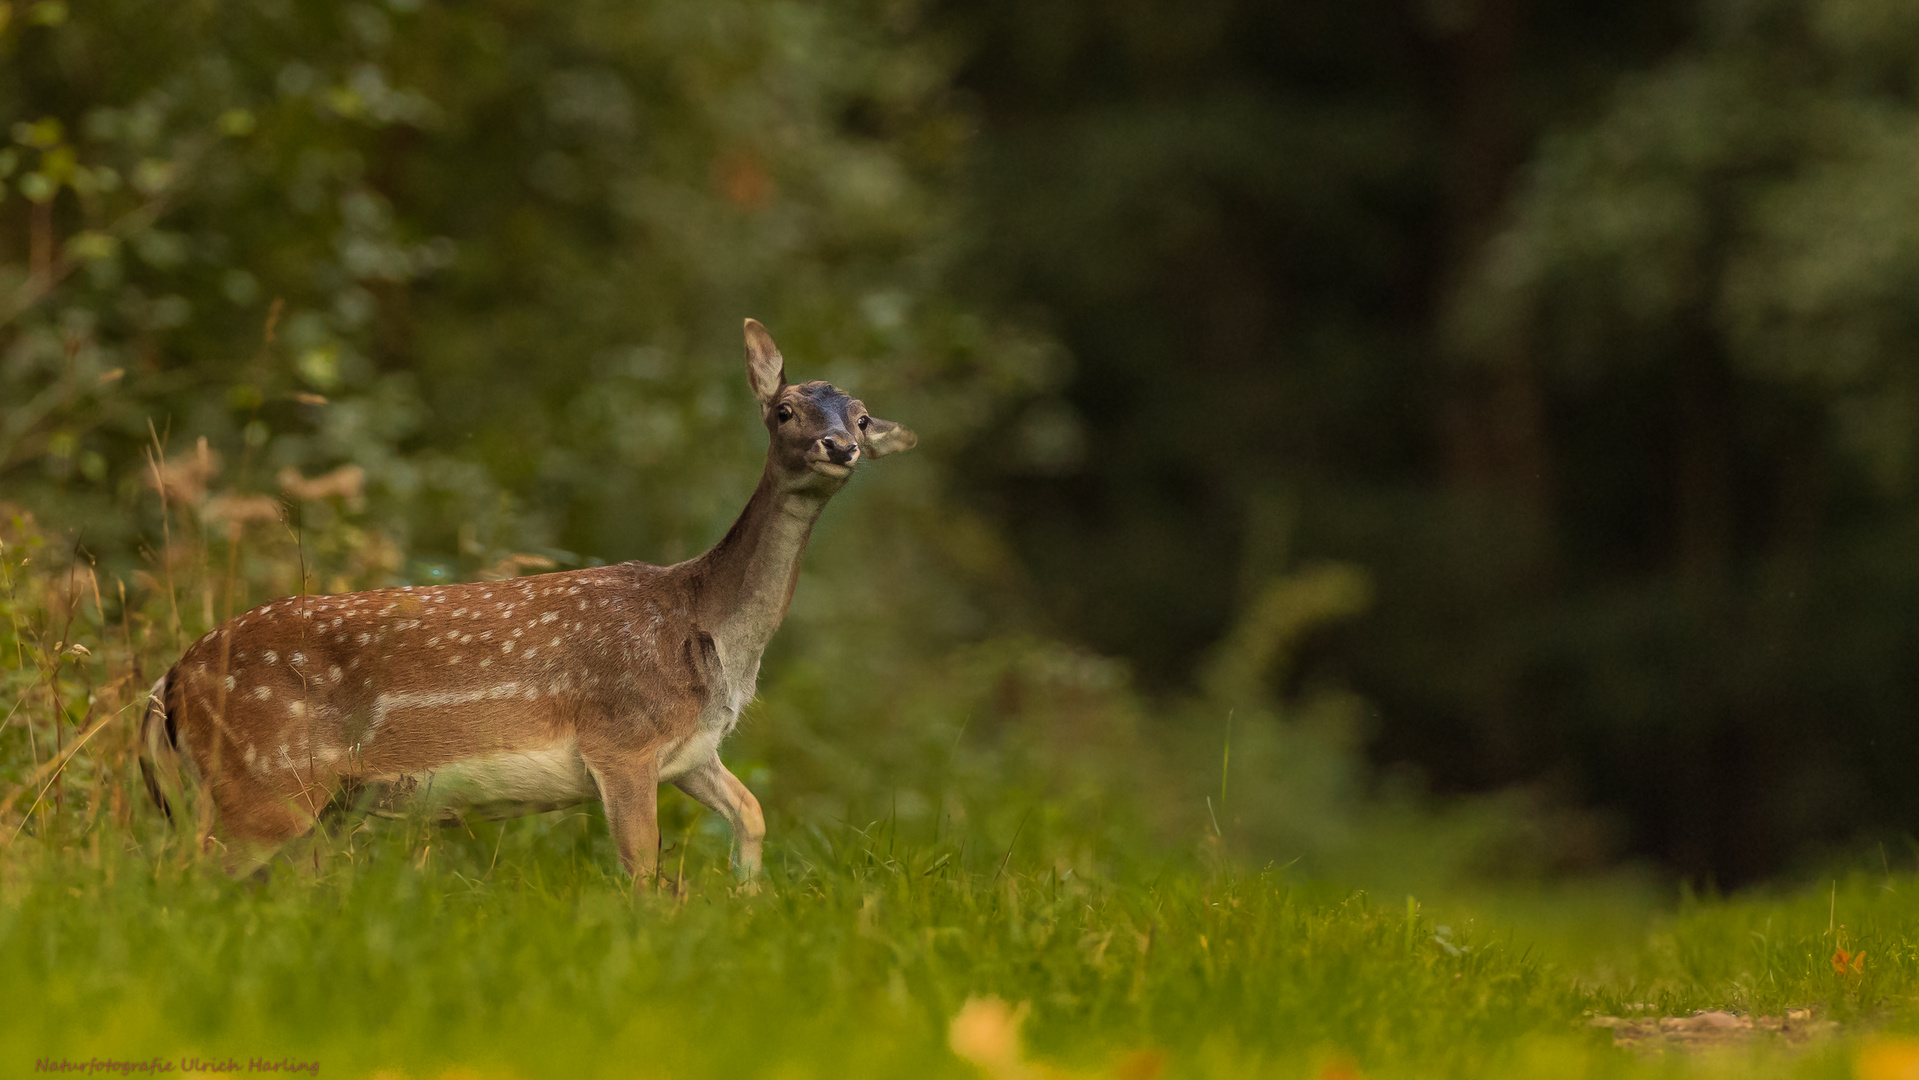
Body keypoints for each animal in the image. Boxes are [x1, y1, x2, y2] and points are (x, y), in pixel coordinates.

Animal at [139, 320, 917, 886]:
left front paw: (747, 901)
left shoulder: (692, 750)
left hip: (306, 800)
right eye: (783, 410)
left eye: (862, 416)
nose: (840, 445)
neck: (711, 632)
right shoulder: (621, 737)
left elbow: (752, 815)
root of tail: (169, 682)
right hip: (262, 778)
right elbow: (642, 875)